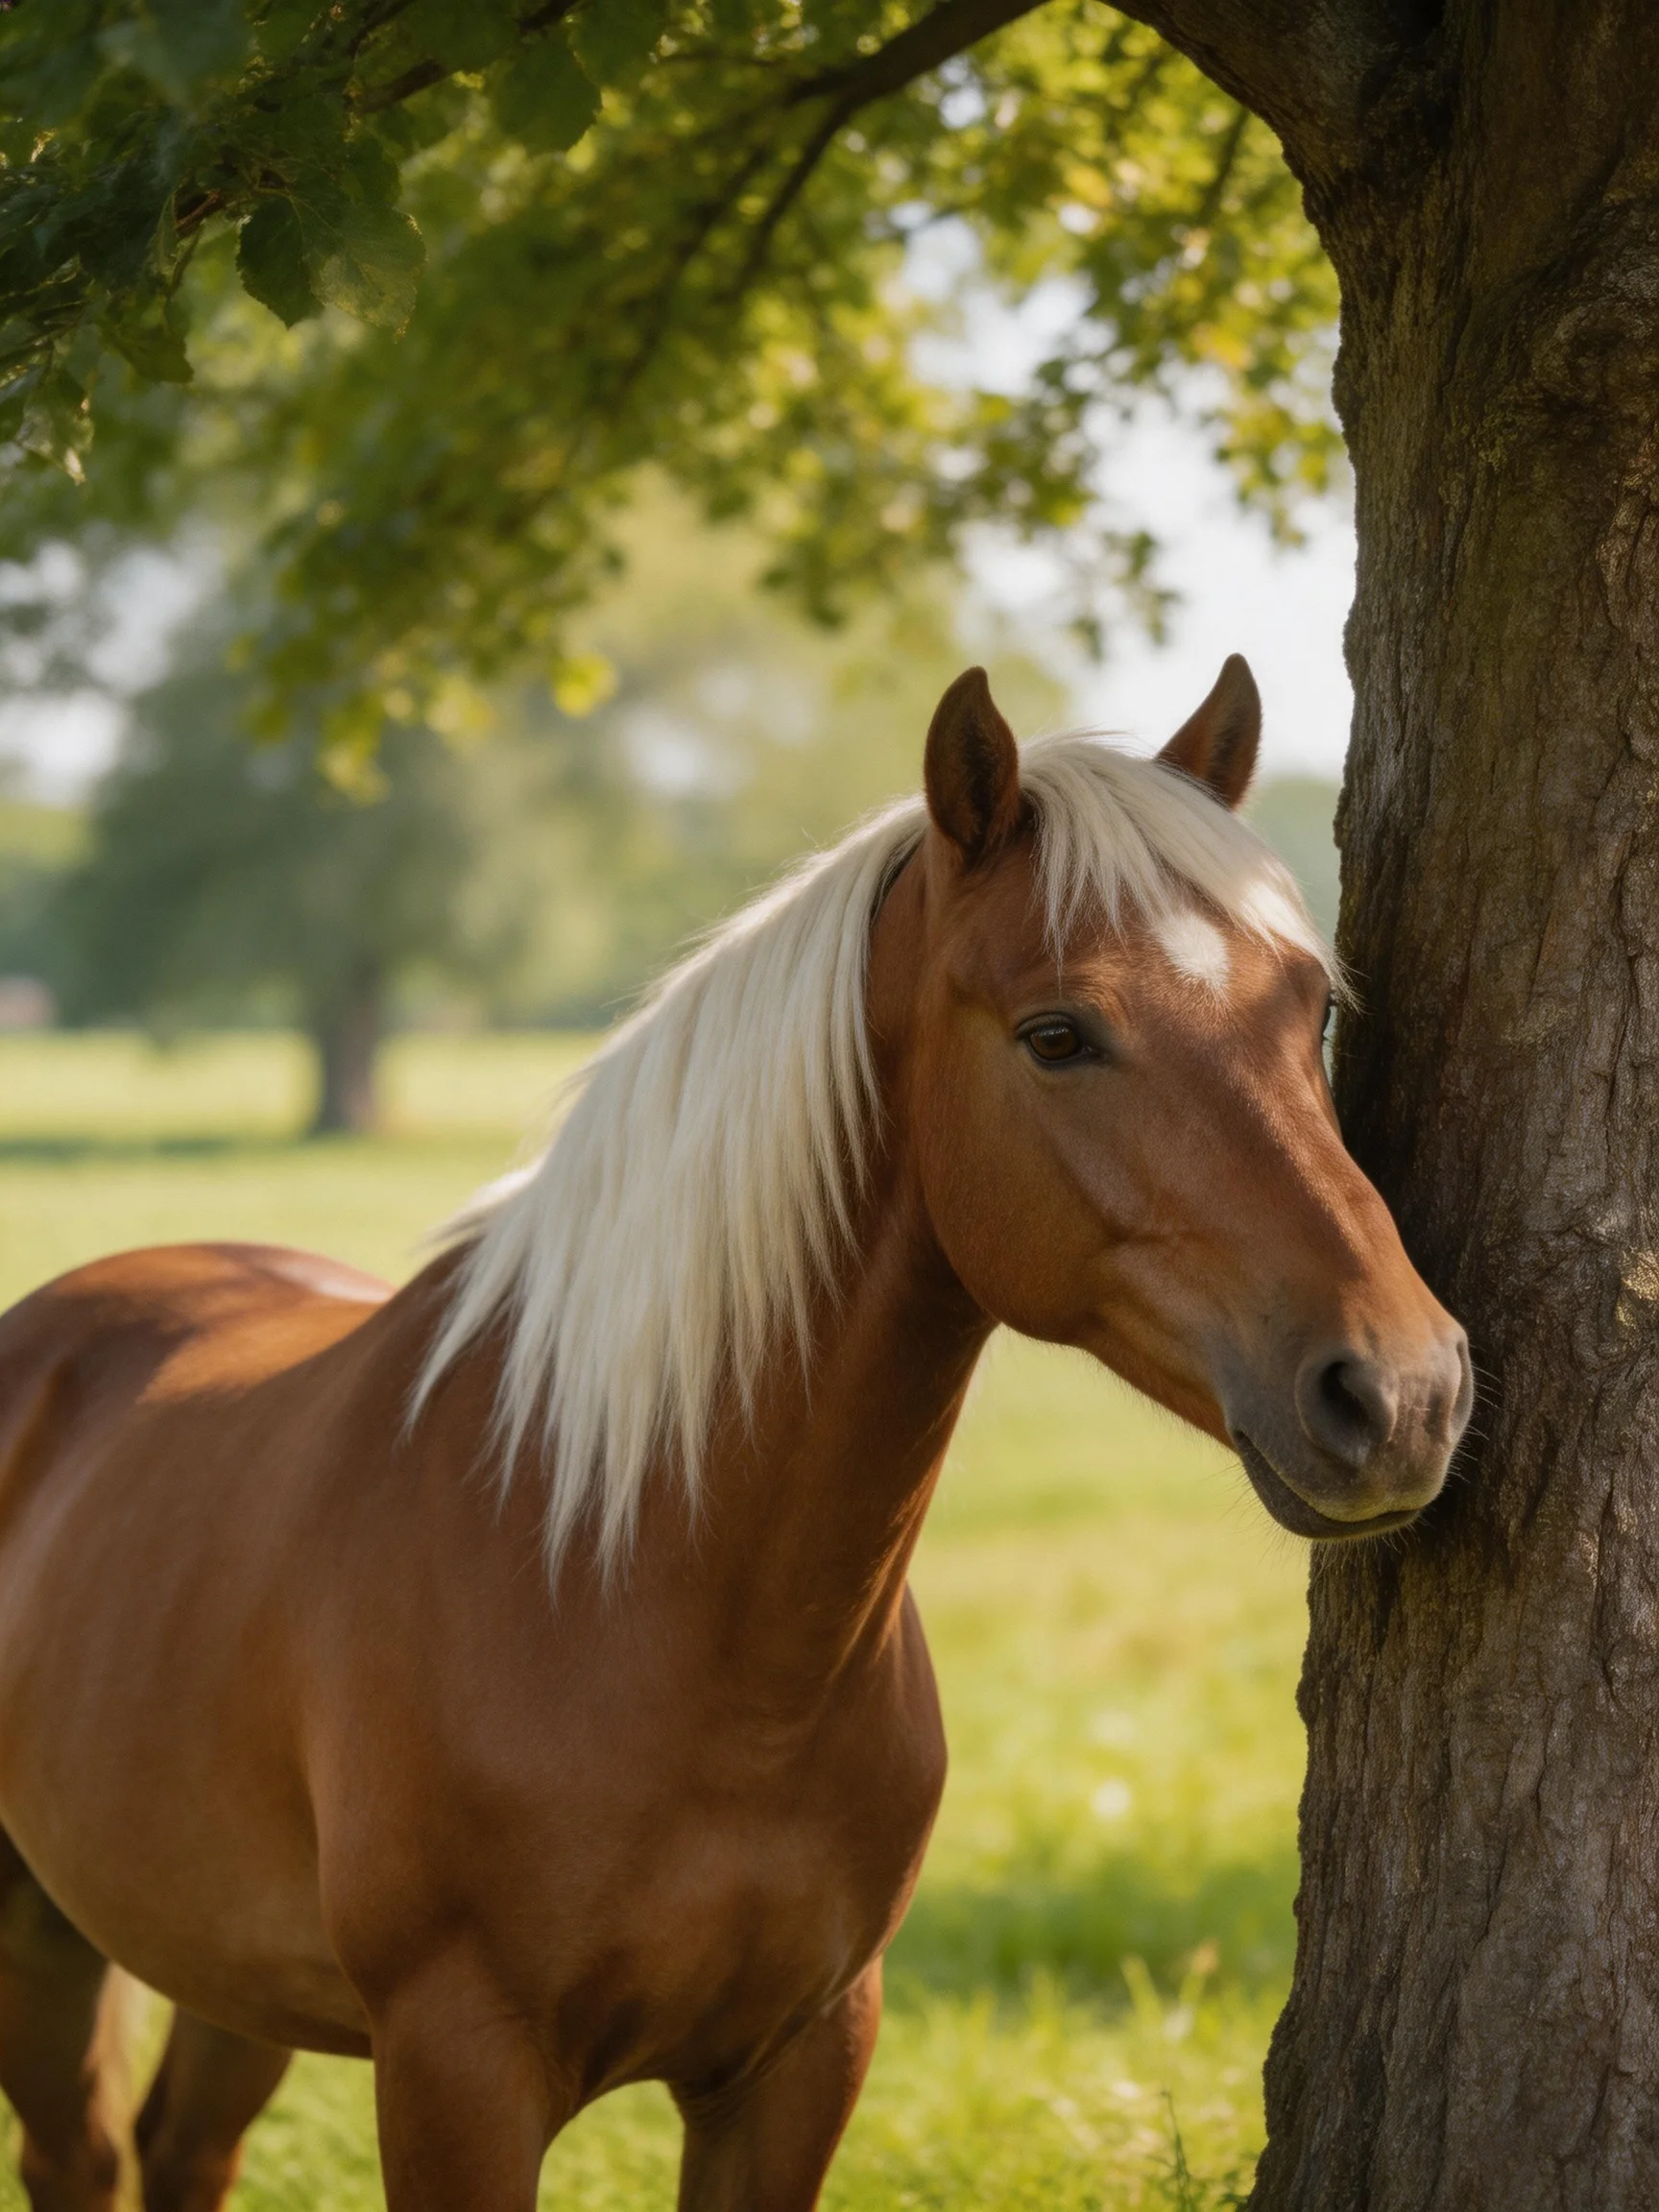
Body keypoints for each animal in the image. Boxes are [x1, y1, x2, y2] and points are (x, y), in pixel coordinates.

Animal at [0, 657, 1471, 2212]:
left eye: (1310, 1011)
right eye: (1058, 1035)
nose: (1401, 1393)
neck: (627, 1582)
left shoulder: (800, 2059)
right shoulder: (456, 2074)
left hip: (230, 1976)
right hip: (44, 1941)